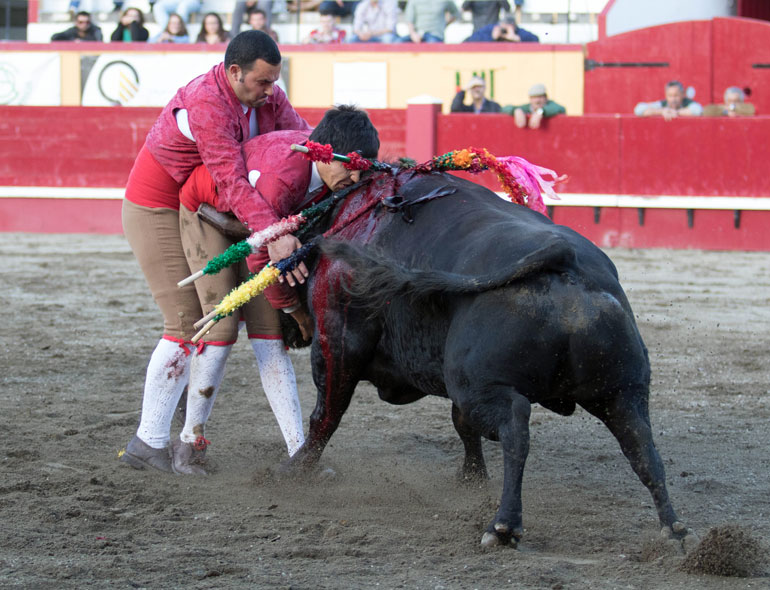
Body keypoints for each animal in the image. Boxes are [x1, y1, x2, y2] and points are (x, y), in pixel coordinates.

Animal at [280, 166, 693, 548]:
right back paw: (672, 528)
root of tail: (566, 260)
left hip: (480, 386)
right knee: (642, 446)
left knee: (514, 430)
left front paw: (297, 470)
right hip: (622, 389)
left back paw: (503, 526)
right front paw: (472, 479)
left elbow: (327, 413)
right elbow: (462, 425)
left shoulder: (337, 338)